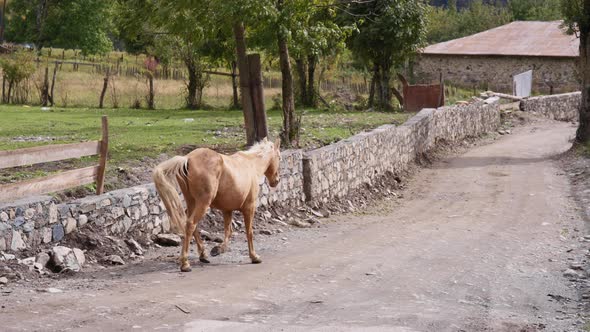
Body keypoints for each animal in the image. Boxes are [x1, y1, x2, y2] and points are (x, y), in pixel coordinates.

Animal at [153, 137, 282, 272]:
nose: (277, 180)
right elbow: (249, 232)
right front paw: (254, 256)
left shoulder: (227, 210)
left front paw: (218, 249)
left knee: (191, 225)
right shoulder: (249, 207)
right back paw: (185, 263)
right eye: (279, 157)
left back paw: (203, 255)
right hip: (203, 203)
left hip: (192, 203)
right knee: (191, 224)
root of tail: (187, 159)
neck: (251, 164)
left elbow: (228, 231)